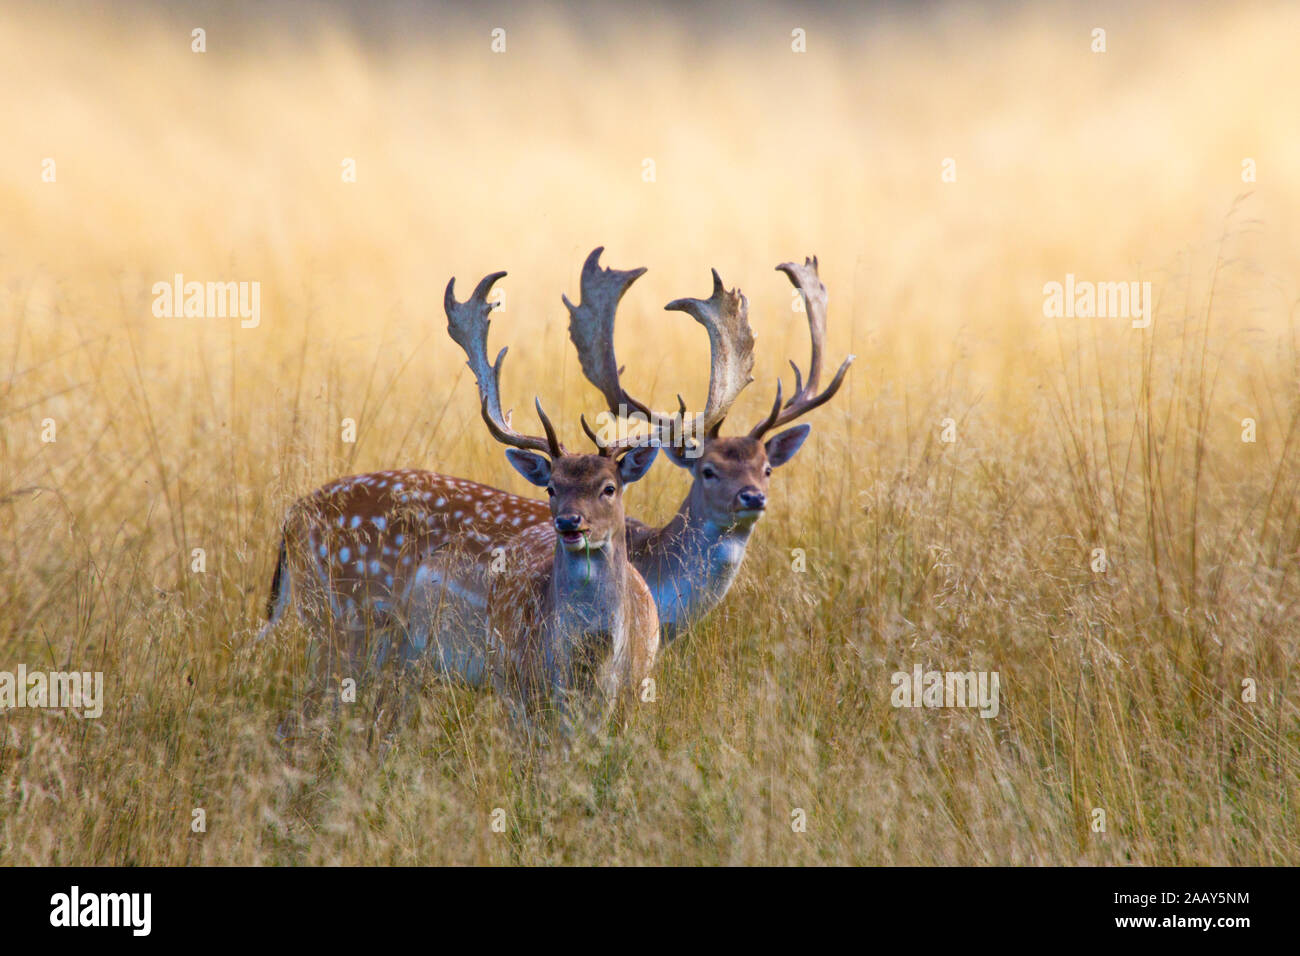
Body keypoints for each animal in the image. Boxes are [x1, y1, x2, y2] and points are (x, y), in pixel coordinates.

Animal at [256, 265, 660, 728]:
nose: (569, 523)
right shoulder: (516, 690)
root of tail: (292, 516)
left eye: (609, 487)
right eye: (551, 487)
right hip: (339, 623)